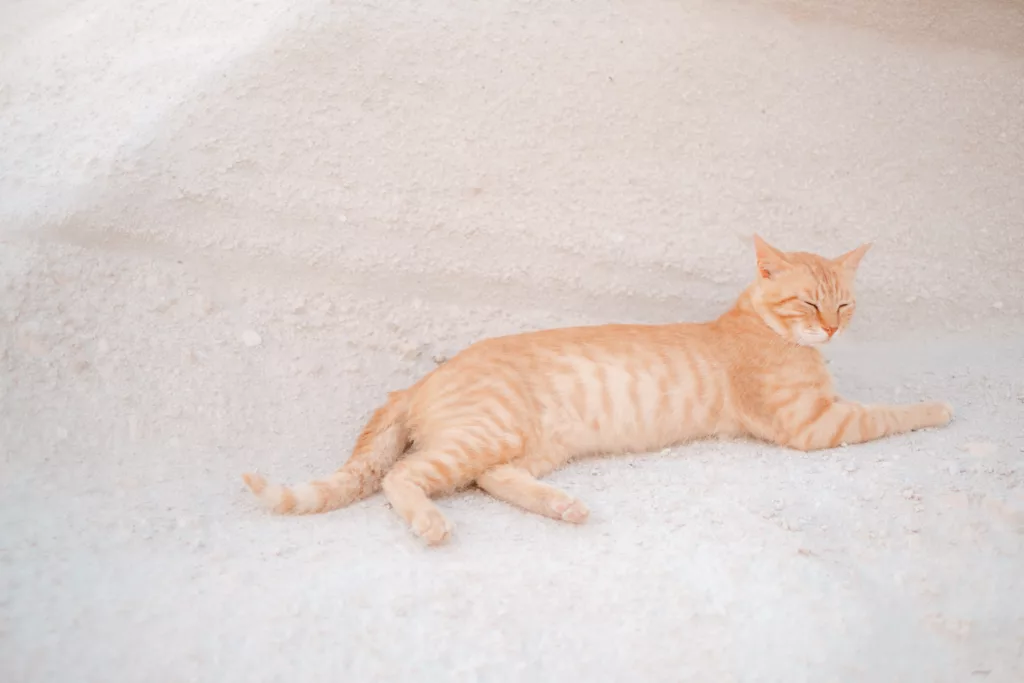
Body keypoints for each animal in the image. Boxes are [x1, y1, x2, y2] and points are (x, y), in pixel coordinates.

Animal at [239, 237, 950, 548]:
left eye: (844, 304)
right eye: (808, 302)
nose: (831, 329)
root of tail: (420, 378)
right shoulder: (813, 426)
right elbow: (888, 413)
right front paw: (938, 405)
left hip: (526, 443)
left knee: (490, 478)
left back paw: (562, 507)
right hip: (487, 431)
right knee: (403, 475)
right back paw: (431, 522)